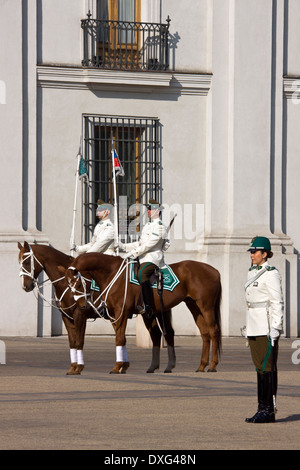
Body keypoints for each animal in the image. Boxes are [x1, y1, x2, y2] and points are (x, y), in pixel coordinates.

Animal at [18, 242, 103, 374]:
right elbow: (72, 342)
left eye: (26, 262)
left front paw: (79, 367)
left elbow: (79, 341)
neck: (66, 281)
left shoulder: (79, 314)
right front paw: (73, 367)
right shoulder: (66, 316)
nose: (25, 286)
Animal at [62, 253, 221, 374]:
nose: (82, 306)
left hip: (206, 307)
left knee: (213, 331)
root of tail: (214, 270)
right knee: (204, 333)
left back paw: (213, 365)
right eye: (69, 285)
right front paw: (123, 365)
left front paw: (117, 366)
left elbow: (119, 339)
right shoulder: (114, 316)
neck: (113, 274)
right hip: (193, 306)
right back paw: (201, 365)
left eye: (78, 284)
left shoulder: (121, 313)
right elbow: (122, 339)